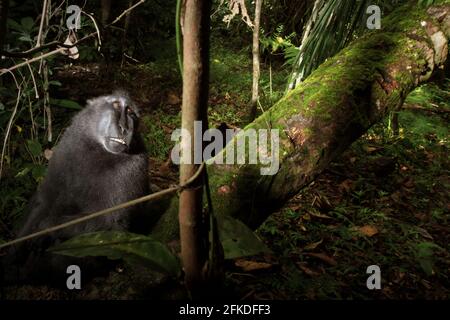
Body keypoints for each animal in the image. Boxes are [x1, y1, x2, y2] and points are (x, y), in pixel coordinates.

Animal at [0, 90, 150, 284]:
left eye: (131, 112)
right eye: (117, 105)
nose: (126, 127)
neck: (98, 149)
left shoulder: (132, 168)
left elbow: (110, 224)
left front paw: (45, 229)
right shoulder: (70, 144)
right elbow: (44, 200)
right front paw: (13, 254)